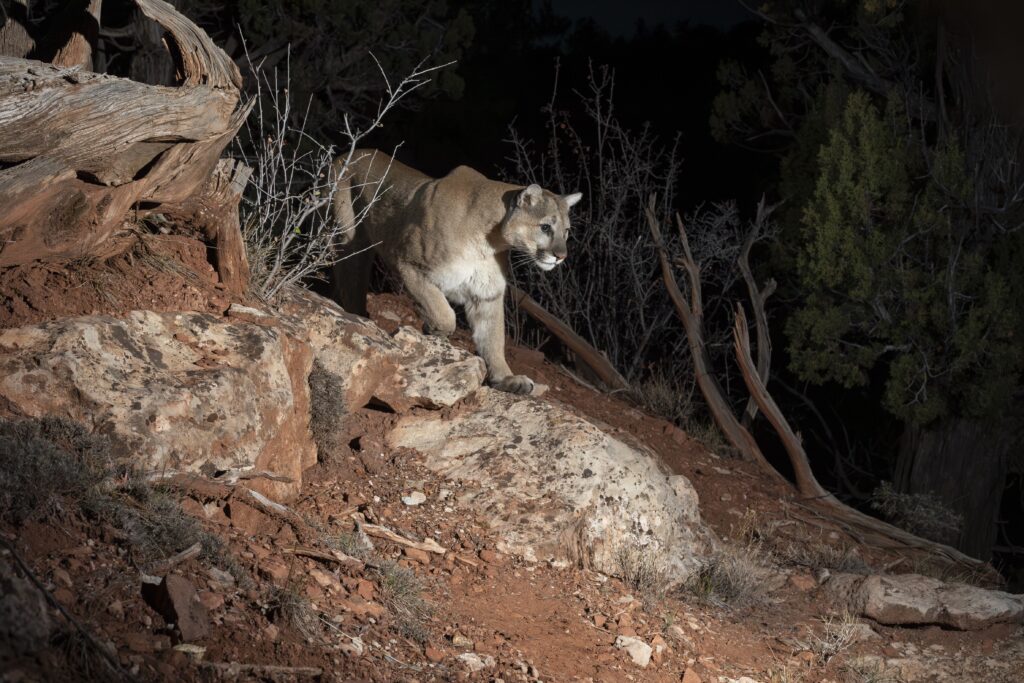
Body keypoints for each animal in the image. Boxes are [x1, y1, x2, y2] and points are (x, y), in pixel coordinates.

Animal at [329, 149, 582, 395]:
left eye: (567, 231)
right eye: (545, 227)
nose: (561, 256)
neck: (490, 241)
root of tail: (345, 154)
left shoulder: (487, 295)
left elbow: (493, 339)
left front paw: (506, 379)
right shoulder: (409, 265)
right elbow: (445, 314)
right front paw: (433, 330)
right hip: (350, 240)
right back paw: (358, 317)